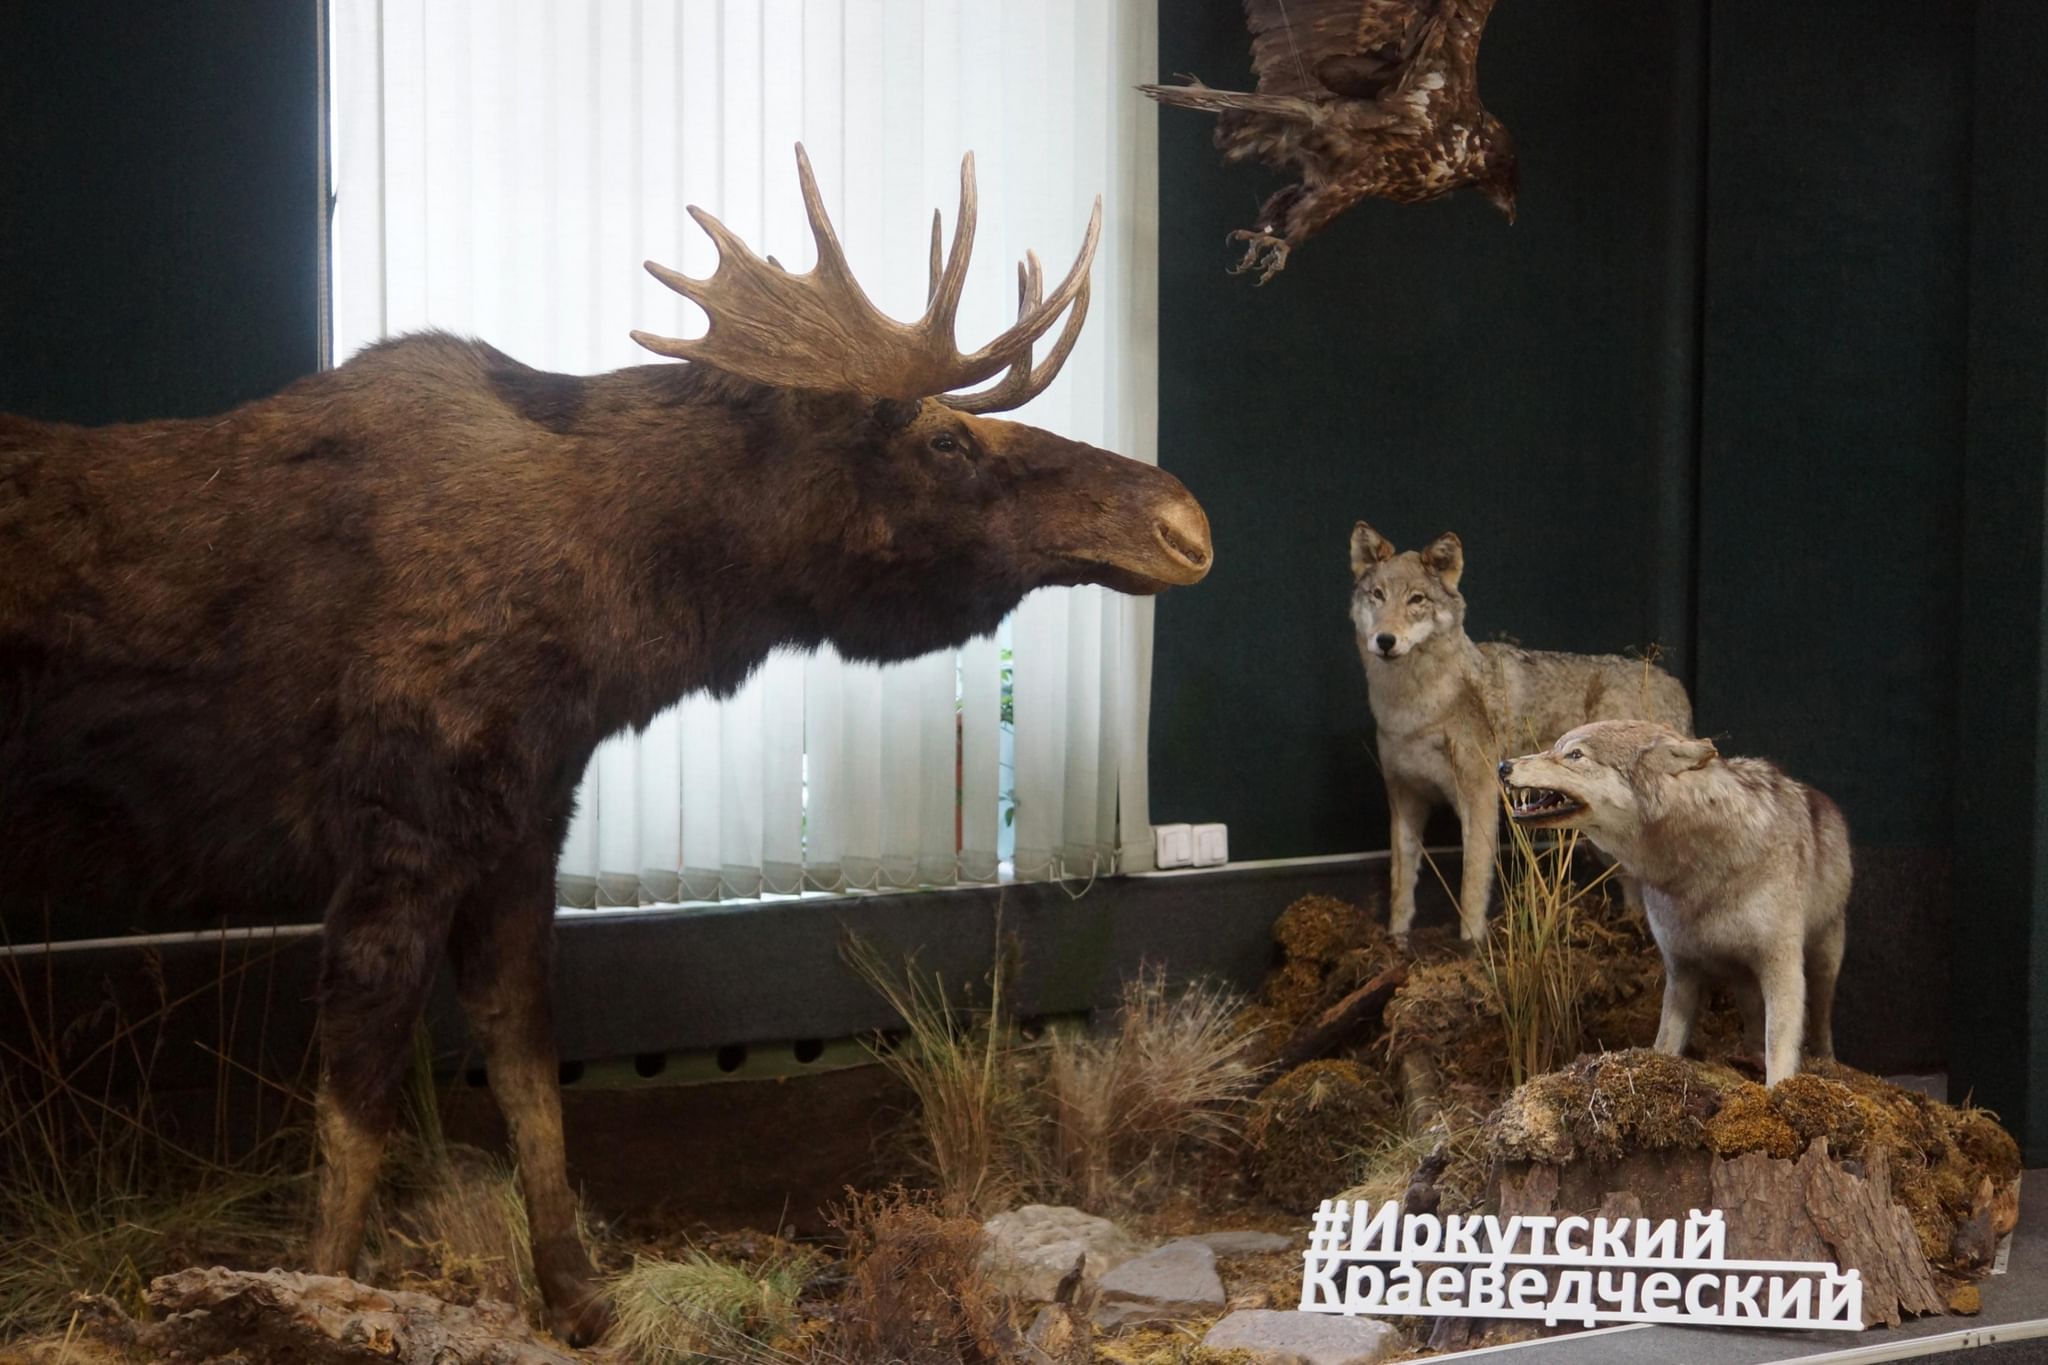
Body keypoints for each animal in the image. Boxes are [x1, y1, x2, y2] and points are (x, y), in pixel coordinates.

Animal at [0, 149, 1204, 1342]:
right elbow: (358, 1106)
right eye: (944, 440)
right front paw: (316, 1297)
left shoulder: (521, 831)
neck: (613, 617)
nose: (1183, 523)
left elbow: (531, 1070)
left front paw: (578, 1291)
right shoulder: (401, 837)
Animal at [1343, 517, 1695, 945]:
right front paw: (1397, 942)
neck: (1412, 711)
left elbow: (1472, 884)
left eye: (1416, 600)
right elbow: (1400, 885)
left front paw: (1471, 948)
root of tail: (1675, 685)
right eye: (1378, 595)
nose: (1385, 640)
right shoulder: (1404, 798)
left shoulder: (1478, 799)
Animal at [1499, 716, 1851, 1088]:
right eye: (1555, 747)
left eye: (1575, 755)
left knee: (1820, 1021)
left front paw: (1780, 1091)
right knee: (1753, 1022)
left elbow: (1780, 1043)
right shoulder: (1681, 969)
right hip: (1742, 977)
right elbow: (1666, 1042)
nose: (1503, 766)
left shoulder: (1781, 965)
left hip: (1824, 961)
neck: (1699, 874)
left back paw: (1825, 1062)